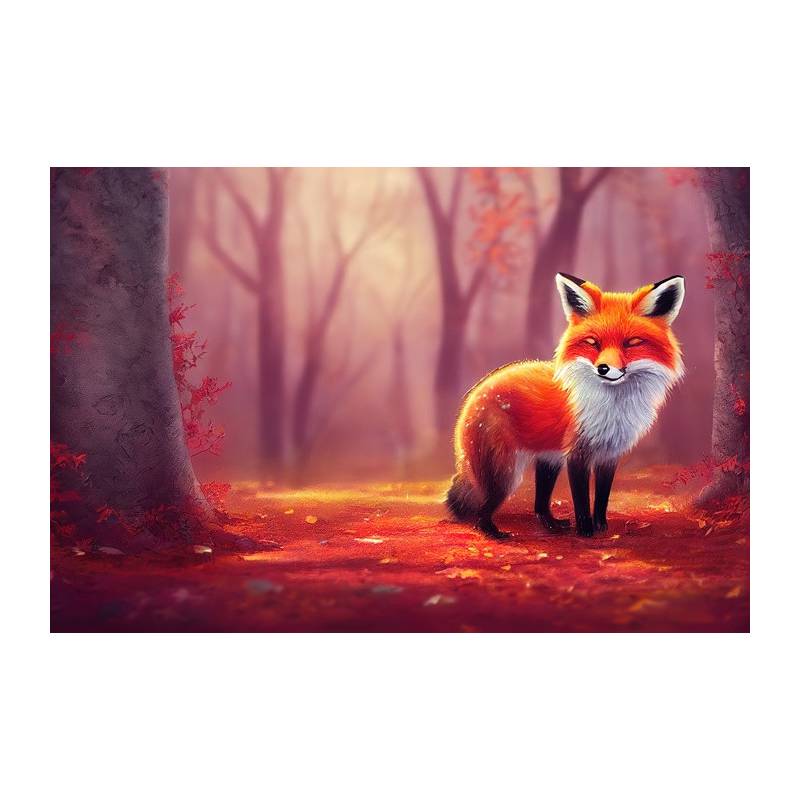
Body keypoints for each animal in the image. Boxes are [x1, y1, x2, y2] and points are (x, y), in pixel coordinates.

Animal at [446, 272, 685, 539]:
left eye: (631, 342)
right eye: (593, 343)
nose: (604, 368)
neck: (612, 408)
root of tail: (475, 393)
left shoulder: (609, 455)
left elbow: (602, 497)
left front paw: (601, 526)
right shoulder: (577, 454)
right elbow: (581, 499)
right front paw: (586, 530)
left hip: (547, 462)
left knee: (540, 505)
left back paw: (551, 524)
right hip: (506, 473)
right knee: (483, 507)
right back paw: (492, 532)